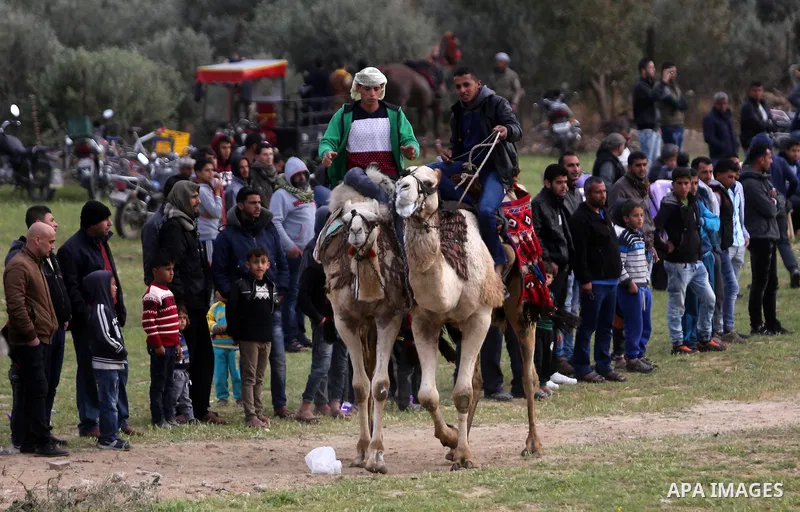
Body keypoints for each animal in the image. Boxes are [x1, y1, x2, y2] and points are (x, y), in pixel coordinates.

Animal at [314, 168, 407, 474]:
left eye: (374, 221)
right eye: (346, 221)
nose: (355, 232)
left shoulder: (389, 317)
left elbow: (379, 385)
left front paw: (376, 456)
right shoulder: (345, 321)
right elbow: (359, 386)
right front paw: (362, 450)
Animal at [395, 165, 544, 469]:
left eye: (428, 183)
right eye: (402, 175)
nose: (401, 191)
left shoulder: (479, 318)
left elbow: (461, 393)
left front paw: (463, 455)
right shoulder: (424, 321)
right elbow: (429, 395)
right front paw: (452, 440)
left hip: (521, 308)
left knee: (528, 375)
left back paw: (532, 444)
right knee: (476, 381)